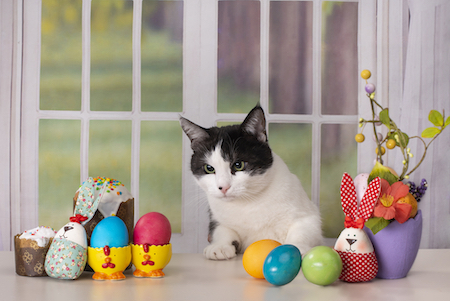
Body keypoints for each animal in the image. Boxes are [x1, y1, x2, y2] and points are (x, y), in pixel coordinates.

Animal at [180, 105, 324, 258]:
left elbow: (303, 229)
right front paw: (219, 246)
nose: (223, 187)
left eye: (238, 165)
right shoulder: (216, 216)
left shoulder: (307, 214)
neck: (248, 203)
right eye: (209, 168)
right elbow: (221, 230)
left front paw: (296, 248)